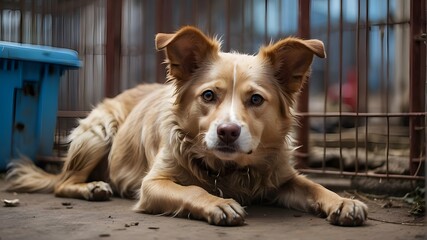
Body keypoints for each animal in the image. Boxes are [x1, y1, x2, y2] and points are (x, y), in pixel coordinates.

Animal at [6, 26, 368, 227]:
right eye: (208, 95)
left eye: (255, 99)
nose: (227, 132)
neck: (227, 170)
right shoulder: (152, 184)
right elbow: (192, 189)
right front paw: (218, 203)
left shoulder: (281, 177)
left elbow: (313, 186)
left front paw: (343, 201)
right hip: (100, 129)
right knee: (62, 183)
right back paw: (91, 187)